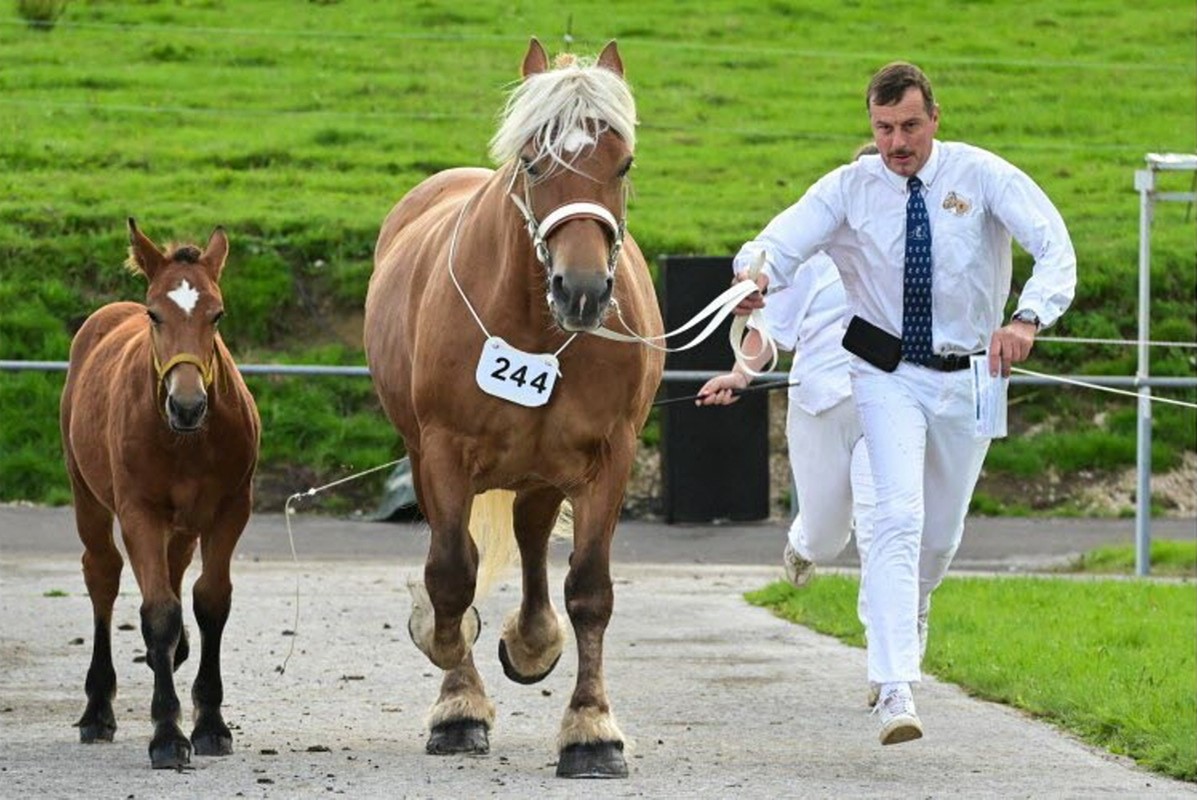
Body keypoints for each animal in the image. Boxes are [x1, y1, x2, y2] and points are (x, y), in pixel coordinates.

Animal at [59, 219, 261, 769]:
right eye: (155, 314)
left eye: (217, 314)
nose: (187, 405)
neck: (186, 440)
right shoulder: (139, 512)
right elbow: (160, 612)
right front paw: (168, 733)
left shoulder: (231, 509)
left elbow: (210, 601)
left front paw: (209, 722)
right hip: (86, 492)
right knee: (103, 574)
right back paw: (97, 709)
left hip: (185, 523)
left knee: (174, 569)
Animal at [363, 38, 664, 778]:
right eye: (532, 161)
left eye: (623, 163)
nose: (582, 290)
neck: (535, 328)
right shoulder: (443, 451)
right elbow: (449, 579)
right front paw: (454, 695)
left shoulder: (608, 458)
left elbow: (589, 590)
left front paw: (591, 727)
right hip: (427, 454)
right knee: (461, 556)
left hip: (542, 468)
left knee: (531, 538)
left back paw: (533, 642)